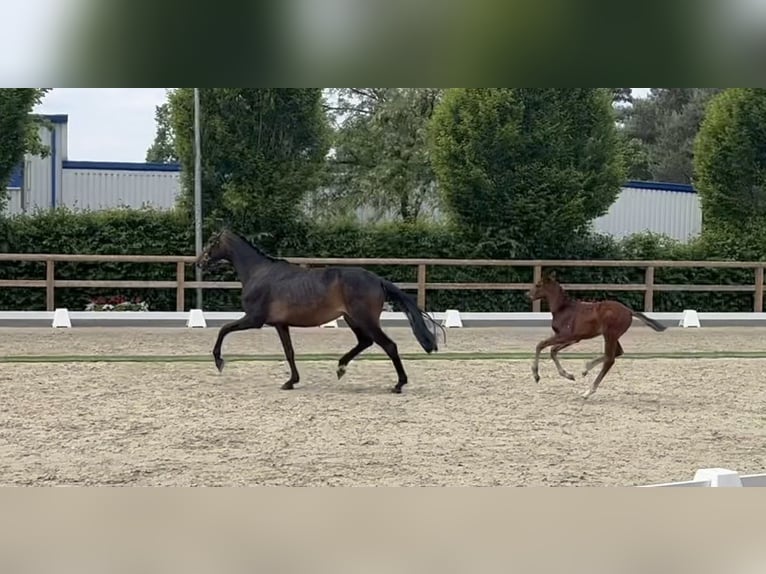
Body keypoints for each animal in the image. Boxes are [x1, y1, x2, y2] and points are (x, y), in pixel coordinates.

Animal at [196, 230, 444, 396]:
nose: (199, 262)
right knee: (365, 342)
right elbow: (289, 352)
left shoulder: (254, 319)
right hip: (352, 319)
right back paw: (341, 367)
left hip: (364, 319)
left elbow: (224, 329)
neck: (259, 273)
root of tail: (377, 279)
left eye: (211, 242)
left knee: (388, 345)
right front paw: (291, 382)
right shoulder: (280, 324)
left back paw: (398, 384)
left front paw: (219, 361)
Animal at [528, 274, 664, 400]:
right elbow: (553, 350)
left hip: (610, 335)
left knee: (610, 359)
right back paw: (586, 368)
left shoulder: (565, 335)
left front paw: (536, 375)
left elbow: (540, 344)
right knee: (618, 352)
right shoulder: (573, 338)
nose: (528, 294)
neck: (563, 309)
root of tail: (629, 311)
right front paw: (569, 375)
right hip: (613, 336)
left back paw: (588, 391)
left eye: (538, 285)